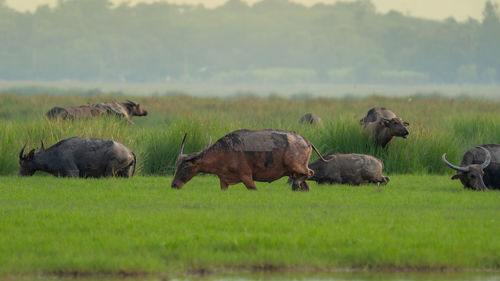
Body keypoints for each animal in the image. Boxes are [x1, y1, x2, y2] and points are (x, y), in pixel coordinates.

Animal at [170, 129, 330, 190]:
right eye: (176, 166)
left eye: (185, 167)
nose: (174, 185)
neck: (224, 151)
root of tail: (306, 141)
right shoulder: (224, 181)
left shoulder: (247, 177)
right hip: (295, 172)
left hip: (297, 167)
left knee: (310, 173)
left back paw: (295, 184)